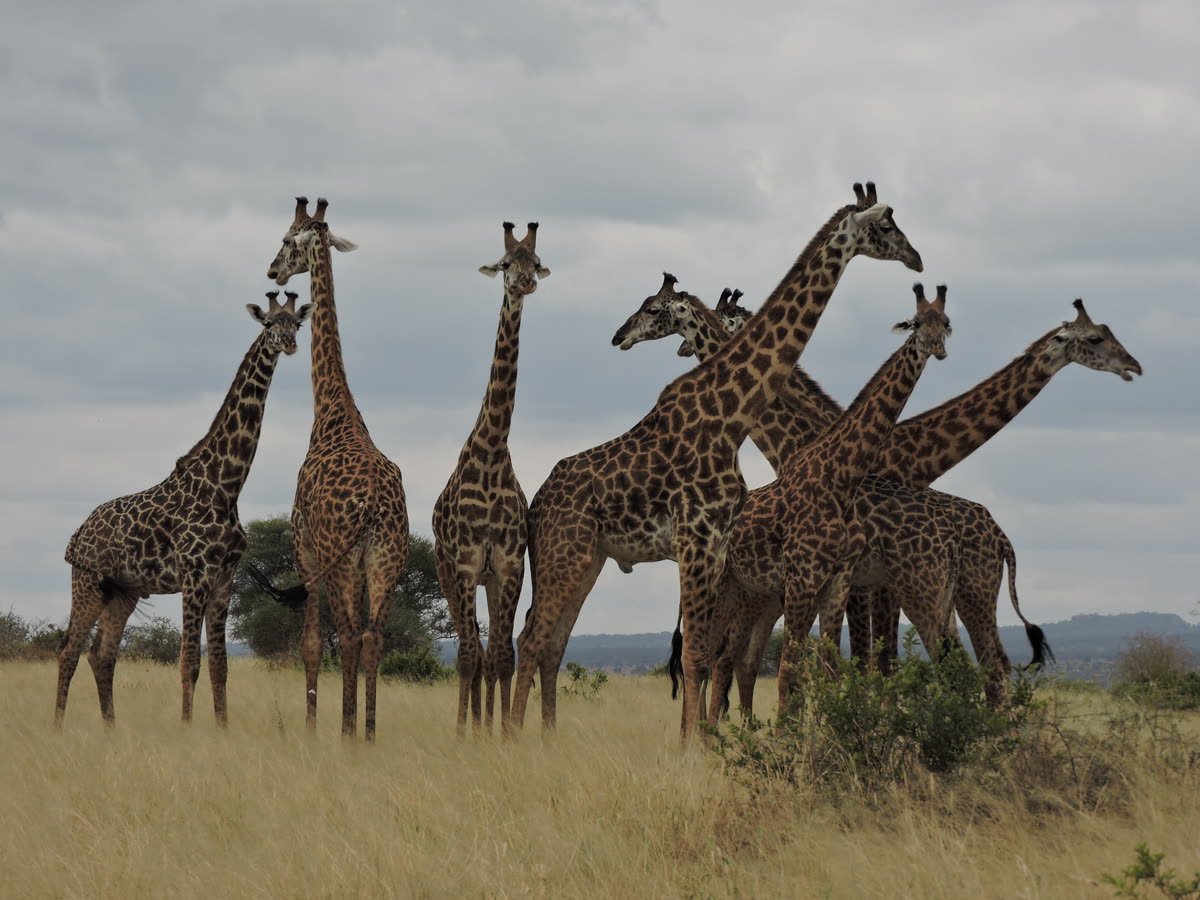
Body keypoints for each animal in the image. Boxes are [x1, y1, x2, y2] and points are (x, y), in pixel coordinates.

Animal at [58, 291, 314, 726]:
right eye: (268, 324)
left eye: (296, 323)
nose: (290, 344)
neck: (227, 486)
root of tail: (78, 534)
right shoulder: (194, 575)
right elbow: (188, 662)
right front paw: (187, 727)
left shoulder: (224, 579)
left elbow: (219, 666)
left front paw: (223, 728)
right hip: (88, 582)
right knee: (67, 652)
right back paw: (58, 728)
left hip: (124, 592)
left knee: (101, 655)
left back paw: (111, 728)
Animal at [266, 196, 410, 741]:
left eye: (288, 240)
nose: (272, 269)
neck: (332, 409)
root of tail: (373, 506)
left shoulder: (304, 546)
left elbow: (310, 645)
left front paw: (310, 728)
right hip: (388, 557)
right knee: (373, 637)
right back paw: (367, 733)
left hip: (340, 556)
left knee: (347, 635)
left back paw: (347, 735)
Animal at [512, 182, 924, 739]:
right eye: (884, 226)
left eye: (652, 308)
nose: (917, 259)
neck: (731, 415)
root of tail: (535, 506)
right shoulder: (697, 538)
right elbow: (697, 656)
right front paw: (692, 748)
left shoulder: (716, 545)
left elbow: (708, 657)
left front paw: (705, 743)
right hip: (565, 551)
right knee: (532, 639)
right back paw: (507, 739)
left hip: (588, 558)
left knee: (552, 643)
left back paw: (546, 739)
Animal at [715, 284, 951, 712]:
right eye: (916, 323)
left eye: (946, 322)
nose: (938, 349)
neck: (843, 477)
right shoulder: (802, 577)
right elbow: (789, 671)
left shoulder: (837, 580)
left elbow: (828, 669)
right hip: (722, 581)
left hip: (748, 589)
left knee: (721, 658)